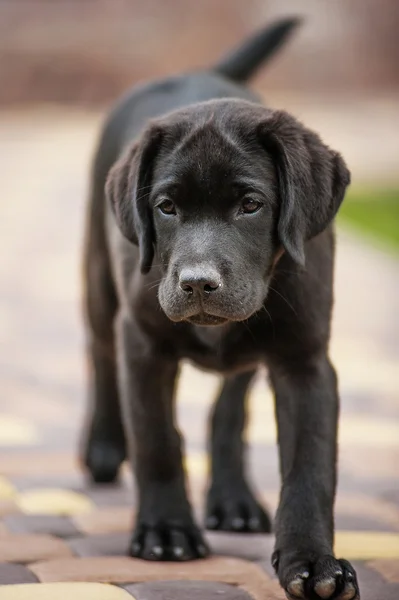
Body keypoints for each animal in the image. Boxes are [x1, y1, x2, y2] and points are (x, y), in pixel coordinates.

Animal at [81, 17, 360, 600]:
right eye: (166, 207)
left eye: (251, 205)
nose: (197, 283)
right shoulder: (142, 342)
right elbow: (157, 440)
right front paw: (166, 531)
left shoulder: (305, 360)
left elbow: (309, 469)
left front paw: (313, 563)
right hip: (97, 276)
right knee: (99, 353)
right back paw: (104, 446)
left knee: (230, 407)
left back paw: (233, 497)